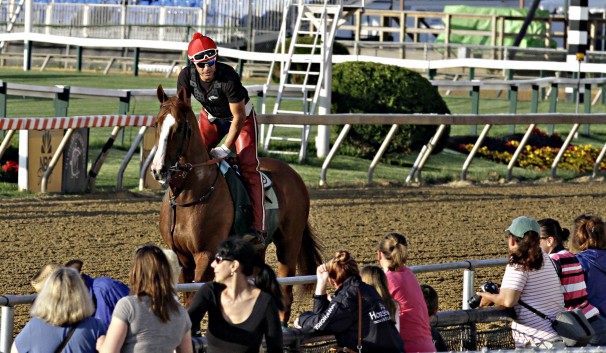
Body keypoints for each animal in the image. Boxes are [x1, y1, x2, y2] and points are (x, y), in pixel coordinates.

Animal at [150, 85, 326, 322]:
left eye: (178, 127)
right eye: (157, 124)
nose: (158, 169)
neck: (190, 195)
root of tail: (294, 175)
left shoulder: (205, 255)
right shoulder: (181, 256)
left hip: (289, 243)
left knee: (286, 295)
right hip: (257, 250)